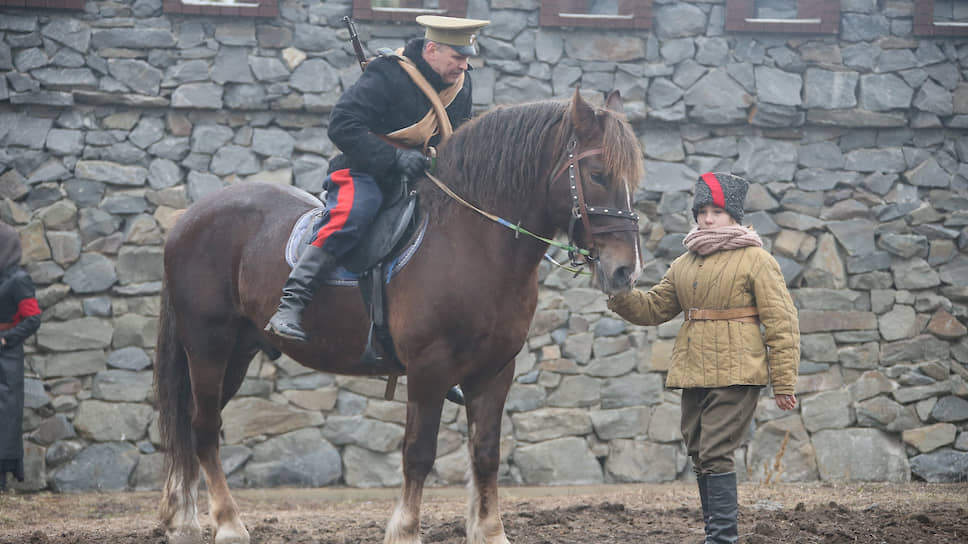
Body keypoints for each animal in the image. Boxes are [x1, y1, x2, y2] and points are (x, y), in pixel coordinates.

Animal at [153, 90, 644, 544]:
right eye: (597, 175)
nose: (626, 270)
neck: (471, 241)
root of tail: (189, 218)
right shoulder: (429, 369)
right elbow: (419, 452)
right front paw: (405, 530)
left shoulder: (494, 371)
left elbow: (486, 451)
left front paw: (489, 530)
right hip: (209, 347)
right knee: (203, 428)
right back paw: (227, 523)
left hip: (237, 352)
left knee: (192, 424)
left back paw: (182, 520)